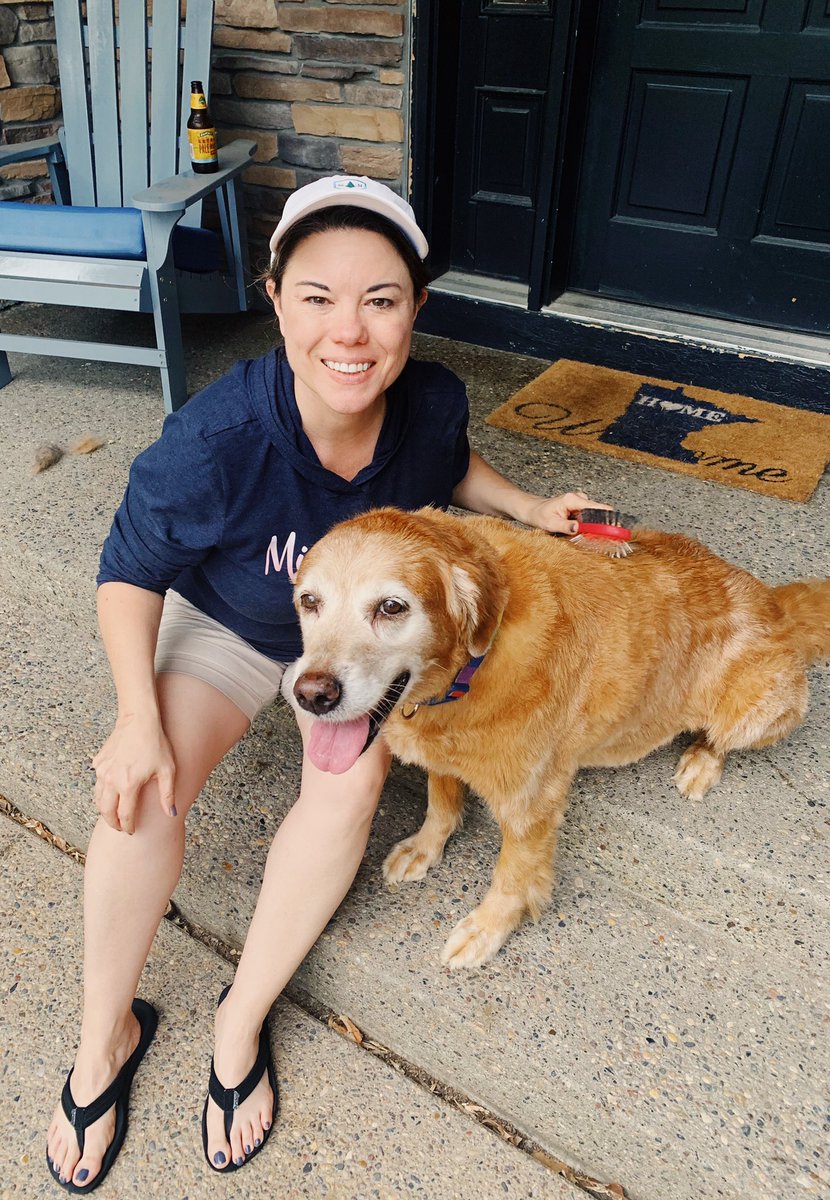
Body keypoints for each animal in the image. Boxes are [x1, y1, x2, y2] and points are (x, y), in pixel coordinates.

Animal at [288, 506, 829, 969]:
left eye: (391, 606)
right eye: (308, 601)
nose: (311, 695)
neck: (468, 670)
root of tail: (773, 601)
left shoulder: (532, 803)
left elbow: (513, 875)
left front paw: (487, 929)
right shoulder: (444, 754)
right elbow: (441, 802)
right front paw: (425, 847)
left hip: (755, 707)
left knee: (722, 738)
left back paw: (701, 760)